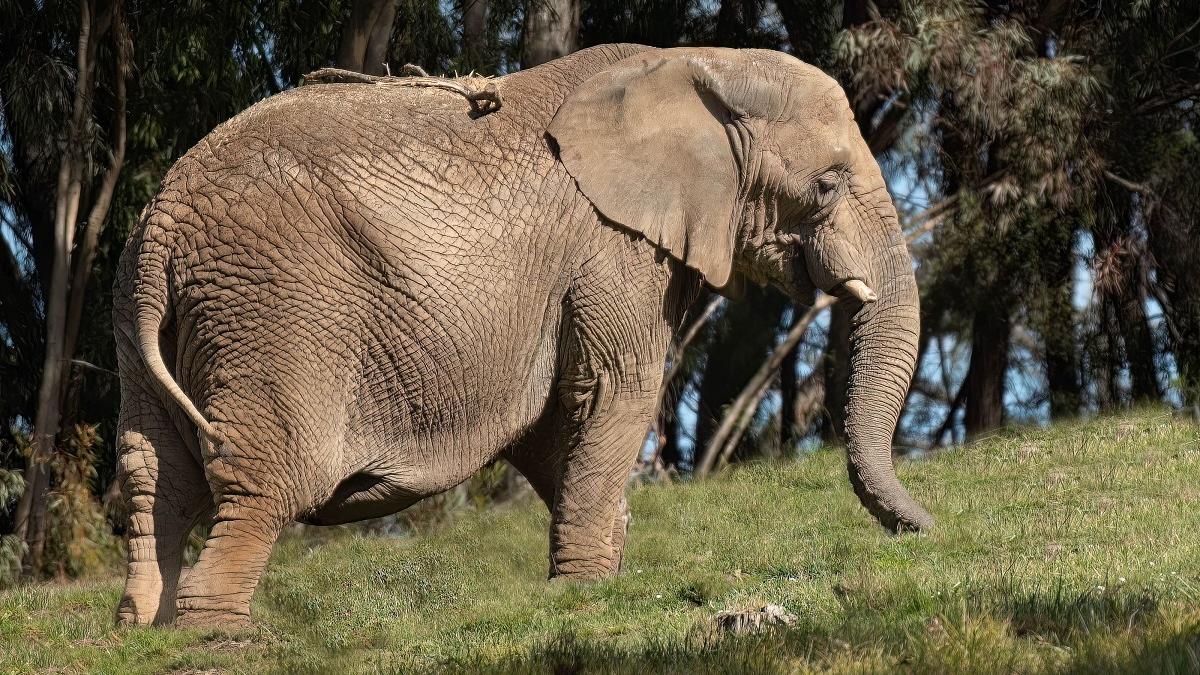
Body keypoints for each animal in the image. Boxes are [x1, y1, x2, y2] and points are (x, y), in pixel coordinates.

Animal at [112, 43, 932, 628]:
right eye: (827, 183)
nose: (925, 534)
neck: (698, 64)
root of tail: (164, 223)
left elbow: (550, 428)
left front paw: (591, 576)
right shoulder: (611, 245)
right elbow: (614, 389)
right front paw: (590, 593)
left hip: (140, 314)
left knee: (155, 471)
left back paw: (141, 628)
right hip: (275, 309)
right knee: (266, 475)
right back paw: (216, 635)